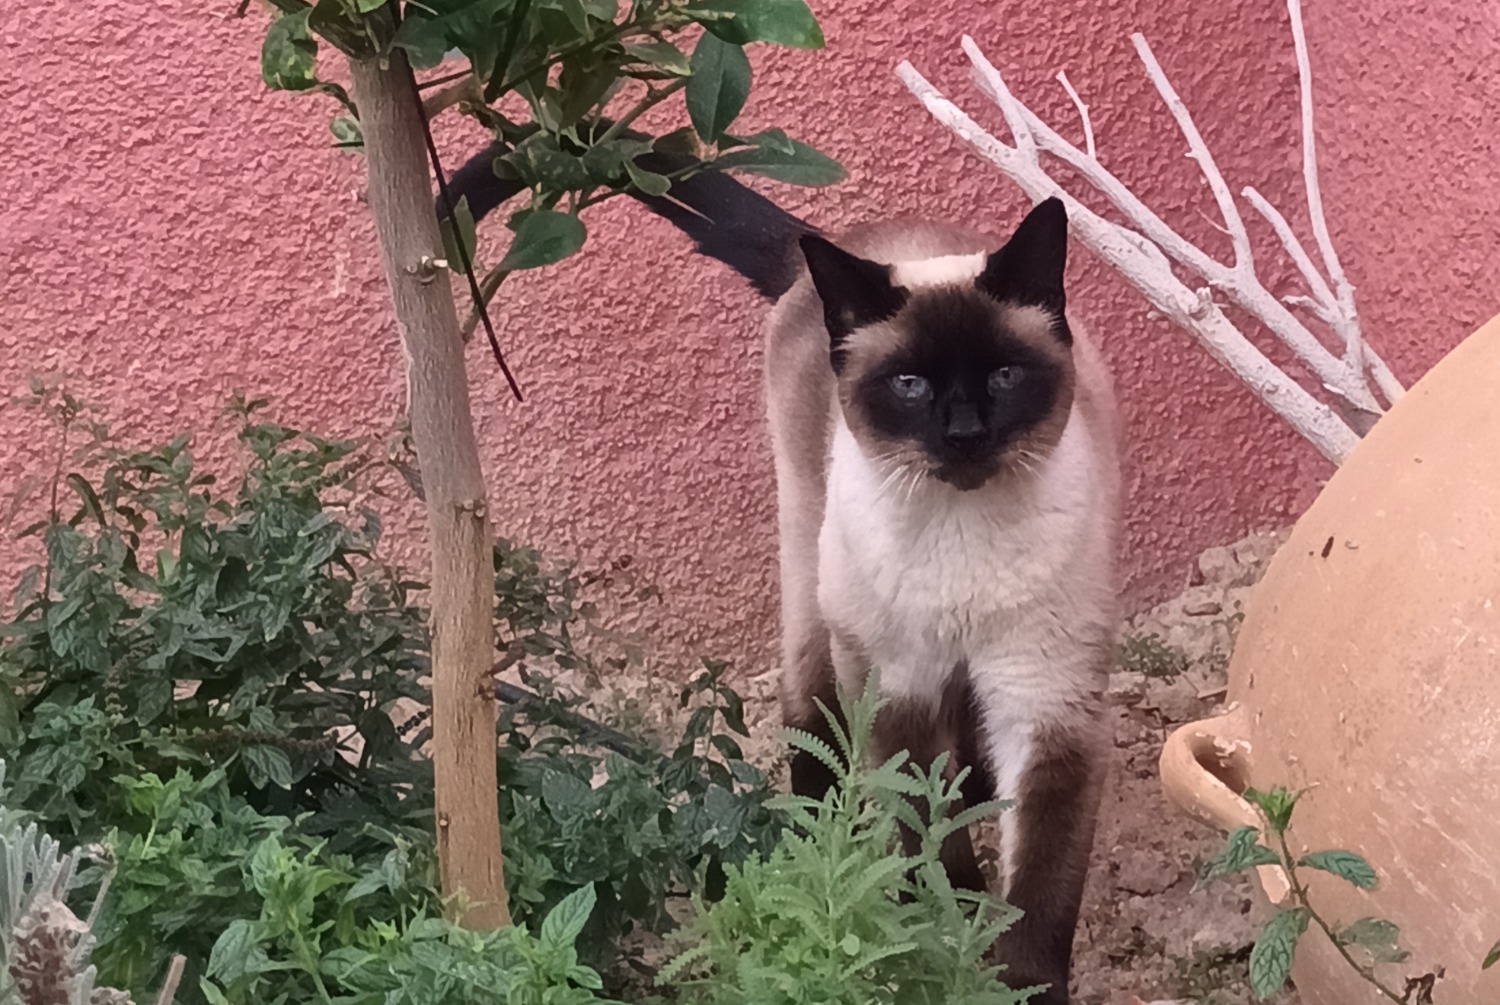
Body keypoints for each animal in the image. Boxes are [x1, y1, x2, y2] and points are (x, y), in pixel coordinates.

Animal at [450, 138, 1122, 1002]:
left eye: (1005, 375)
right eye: (910, 384)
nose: (966, 434)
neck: (963, 533)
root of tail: (834, 247)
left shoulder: (1048, 706)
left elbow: (1038, 894)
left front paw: (1010, 973)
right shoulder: (900, 690)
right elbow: (923, 832)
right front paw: (937, 932)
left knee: (964, 760)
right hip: (816, 588)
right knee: (814, 726)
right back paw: (818, 853)